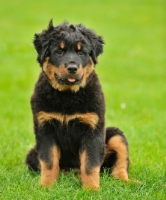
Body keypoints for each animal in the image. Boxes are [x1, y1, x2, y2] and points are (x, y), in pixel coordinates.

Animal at [25, 20, 130, 189]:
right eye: (59, 52)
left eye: (81, 53)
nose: (72, 68)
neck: (67, 96)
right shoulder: (45, 128)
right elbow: (49, 162)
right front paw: (46, 187)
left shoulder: (92, 129)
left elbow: (90, 163)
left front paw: (91, 189)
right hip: (31, 155)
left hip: (115, 135)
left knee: (119, 166)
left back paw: (129, 183)